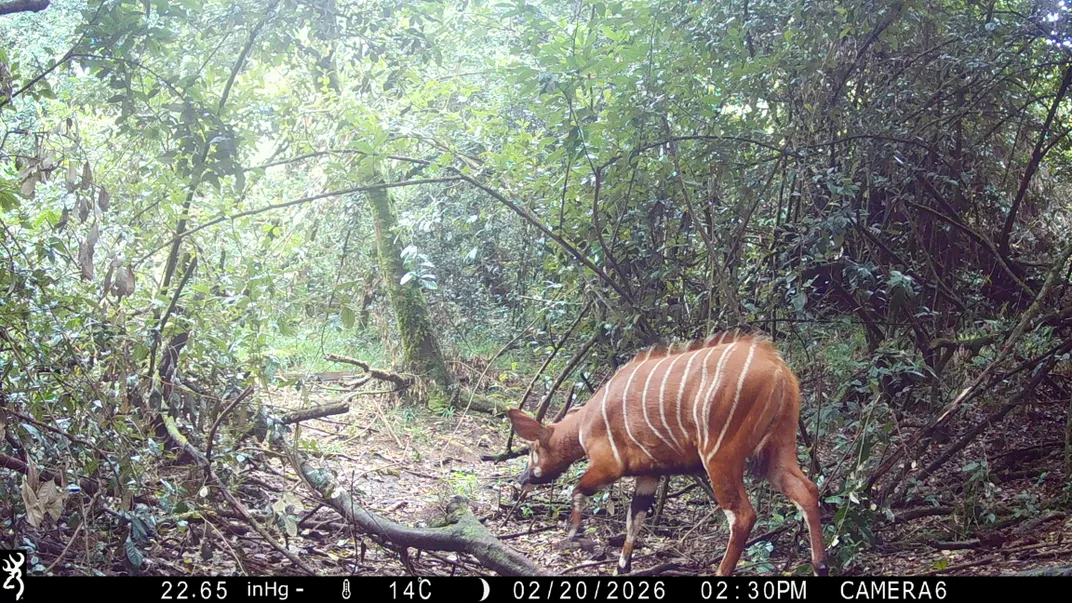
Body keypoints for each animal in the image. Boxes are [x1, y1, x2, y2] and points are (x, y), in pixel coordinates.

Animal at [507, 330, 828, 576]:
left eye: (533, 449)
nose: (522, 479)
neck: (587, 419)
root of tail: (779, 369)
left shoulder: (608, 464)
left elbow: (578, 490)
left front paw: (575, 537)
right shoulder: (649, 473)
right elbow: (634, 518)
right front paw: (621, 566)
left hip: (720, 457)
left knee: (742, 515)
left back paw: (720, 572)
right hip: (776, 451)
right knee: (806, 490)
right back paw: (820, 566)